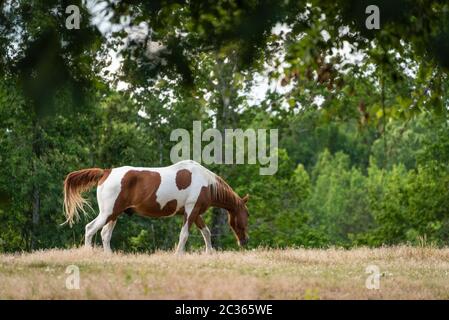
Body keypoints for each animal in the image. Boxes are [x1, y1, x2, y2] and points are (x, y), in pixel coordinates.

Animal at [62, 160, 248, 255]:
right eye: (245, 216)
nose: (245, 241)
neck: (206, 183)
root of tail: (105, 172)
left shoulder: (195, 213)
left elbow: (206, 232)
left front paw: (210, 253)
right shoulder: (191, 211)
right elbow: (184, 235)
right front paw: (178, 254)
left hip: (114, 214)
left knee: (105, 234)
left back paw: (109, 256)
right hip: (108, 213)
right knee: (90, 228)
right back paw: (89, 253)